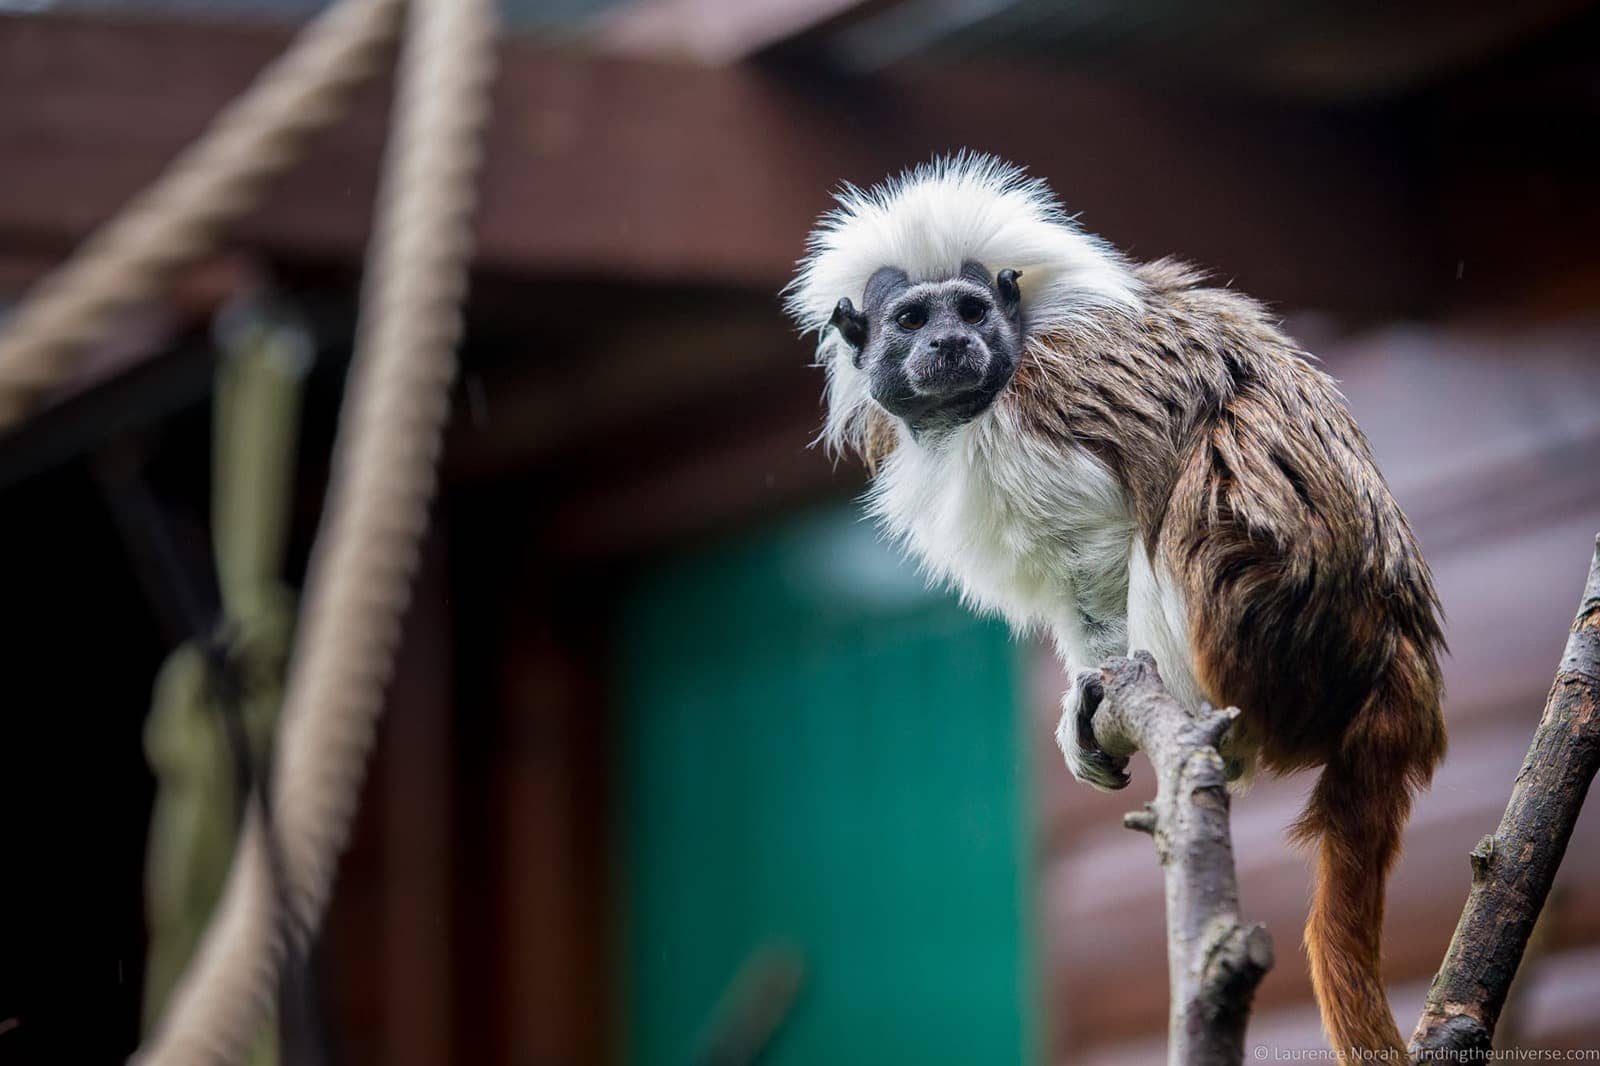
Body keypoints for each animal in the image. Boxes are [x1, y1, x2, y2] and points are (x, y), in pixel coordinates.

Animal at [787, 153, 1452, 1056]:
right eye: (912, 318)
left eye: (971, 310)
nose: (949, 343)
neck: (984, 395)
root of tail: (1399, 655)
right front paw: (1086, 696)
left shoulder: (1043, 413)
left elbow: (1114, 523)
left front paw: (1117, 687)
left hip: (1271, 623)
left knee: (1204, 479)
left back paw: (1203, 714)